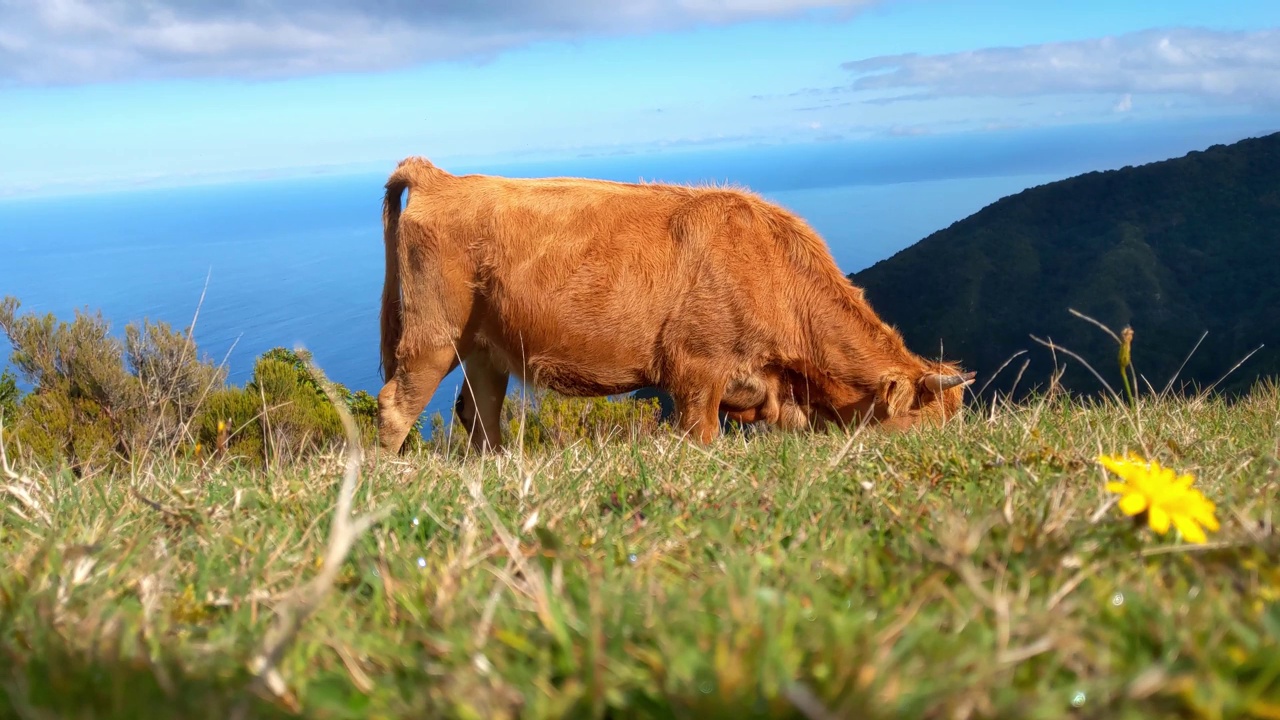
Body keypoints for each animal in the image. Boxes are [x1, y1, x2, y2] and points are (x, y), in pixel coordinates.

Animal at [373, 155, 972, 453]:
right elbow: (700, 438)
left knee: (480, 411)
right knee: (397, 405)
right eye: (921, 424)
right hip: (432, 336)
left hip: (483, 347)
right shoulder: (697, 372)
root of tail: (443, 178)